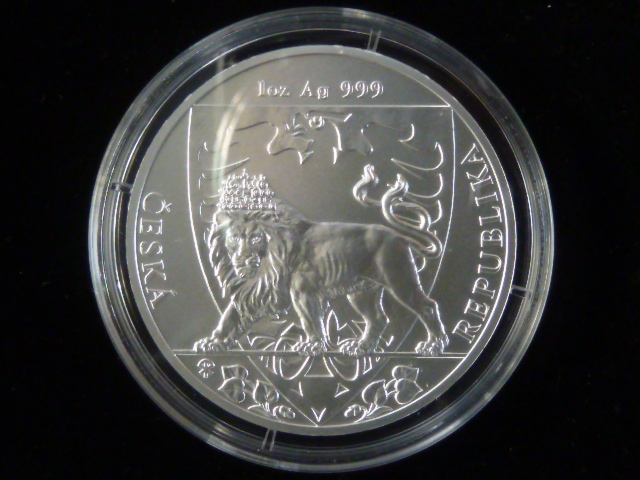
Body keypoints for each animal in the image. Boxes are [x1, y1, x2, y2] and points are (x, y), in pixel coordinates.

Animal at [193, 166, 449, 357]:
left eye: (256, 238)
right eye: (235, 237)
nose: (243, 257)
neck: (266, 263)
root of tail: (399, 237)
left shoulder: (303, 292)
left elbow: (310, 320)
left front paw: (312, 345)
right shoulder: (255, 289)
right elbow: (230, 315)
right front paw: (213, 342)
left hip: (398, 279)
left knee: (427, 306)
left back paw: (433, 346)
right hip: (363, 291)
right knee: (377, 318)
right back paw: (360, 347)